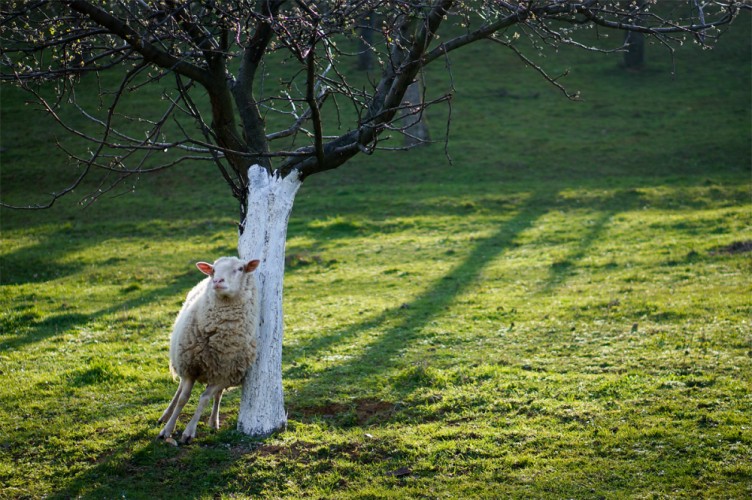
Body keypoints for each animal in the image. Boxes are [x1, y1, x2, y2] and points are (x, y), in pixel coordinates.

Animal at [157, 256, 260, 444]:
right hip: (182, 361)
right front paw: (167, 430)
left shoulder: (223, 374)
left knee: (217, 396)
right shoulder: (190, 367)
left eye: (240, 268)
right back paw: (165, 416)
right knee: (179, 390)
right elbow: (183, 398)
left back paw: (213, 421)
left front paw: (189, 432)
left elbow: (204, 399)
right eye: (213, 270)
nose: (217, 281)